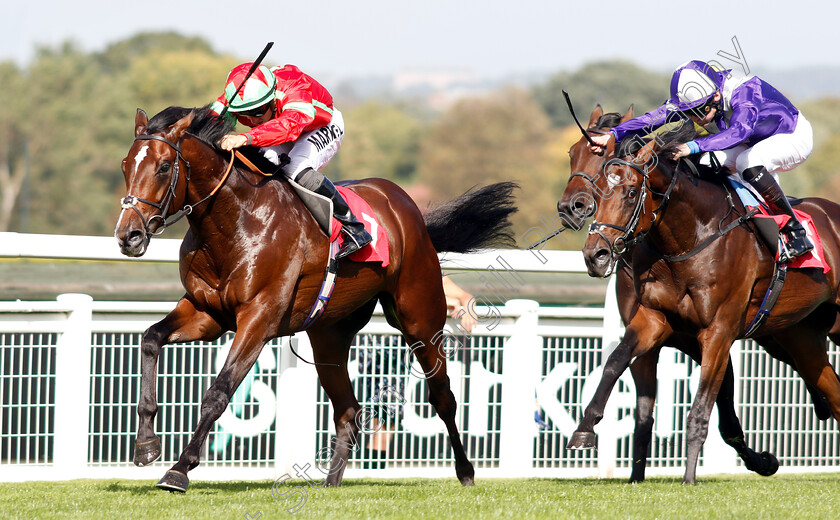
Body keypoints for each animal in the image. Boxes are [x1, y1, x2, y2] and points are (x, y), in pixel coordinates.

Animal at [112, 105, 520, 492]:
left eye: (164, 166)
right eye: (125, 165)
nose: (128, 236)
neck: (236, 222)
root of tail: (405, 205)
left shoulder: (259, 317)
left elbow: (217, 392)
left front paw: (179, 469)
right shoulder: (206, 312)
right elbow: (150, 338)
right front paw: (146, 443)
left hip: (420, 316)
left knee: (443, 396)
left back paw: (466, 472)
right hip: (329, 335)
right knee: (349, 409)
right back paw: (331, 481)